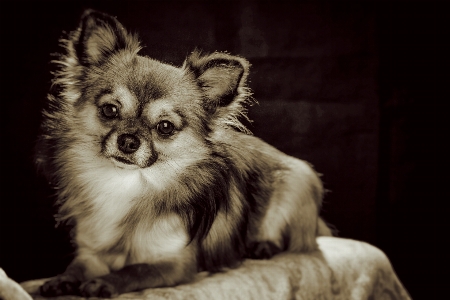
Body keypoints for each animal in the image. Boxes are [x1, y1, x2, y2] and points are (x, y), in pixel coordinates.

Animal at [36, 9, 330, 298]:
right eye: (110, 110)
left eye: (165, 127)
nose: (128, 141)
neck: (127, 182)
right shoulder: (91, 252)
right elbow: (77, 267)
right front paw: (62, 280)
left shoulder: (176, 264)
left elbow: (136, 270)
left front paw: (105, 283)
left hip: (298, 179)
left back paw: (263, 246)